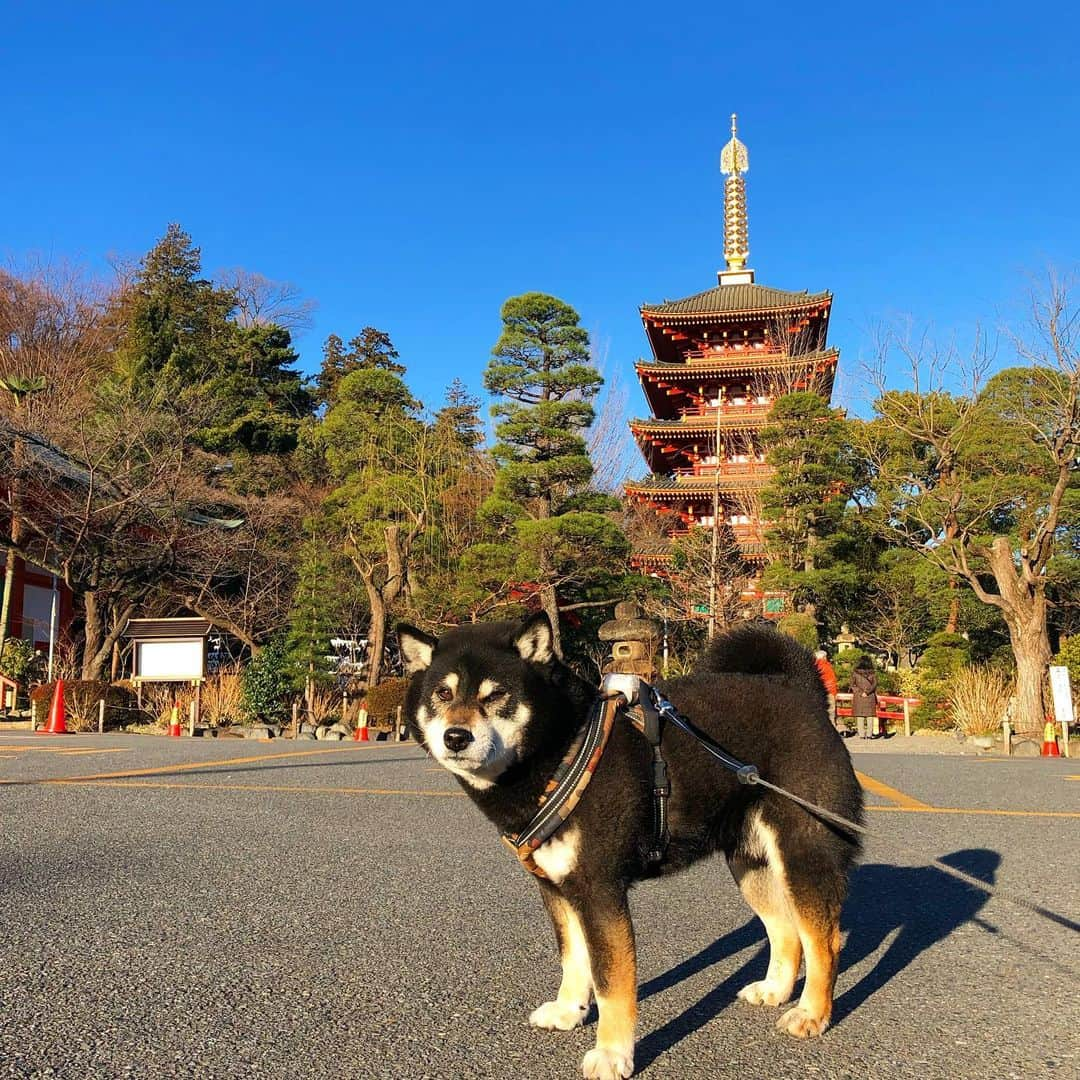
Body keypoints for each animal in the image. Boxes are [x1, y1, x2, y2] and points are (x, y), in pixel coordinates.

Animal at [401, 613, 864, 1075]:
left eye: (496, 694)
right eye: (443, 693)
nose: (456, 737)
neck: (562, 752)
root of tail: (801, 691)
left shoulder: (600, 891)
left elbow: (611, 983)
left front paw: (612, 1053)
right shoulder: (559, 888)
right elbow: (574, 958)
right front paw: (568, 1010)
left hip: (804, 856)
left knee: (824, 942)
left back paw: (811, 1012)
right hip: (751, 866)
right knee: (785, 932)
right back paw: (775, 990)